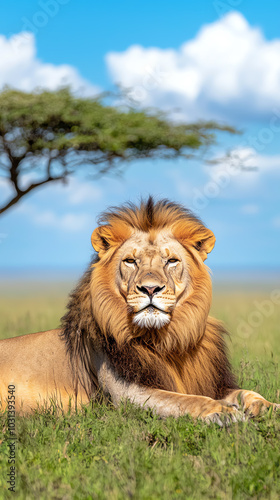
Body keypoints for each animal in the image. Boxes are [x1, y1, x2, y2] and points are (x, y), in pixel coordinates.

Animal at [0, 197, 278, 424]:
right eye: (131, 261)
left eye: (171, 261)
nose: (150, 288)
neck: (166, 339)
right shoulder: (127, 393)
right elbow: (185, 399)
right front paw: (222, 411)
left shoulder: (214, 383)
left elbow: (248, 393)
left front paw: (270, 407)